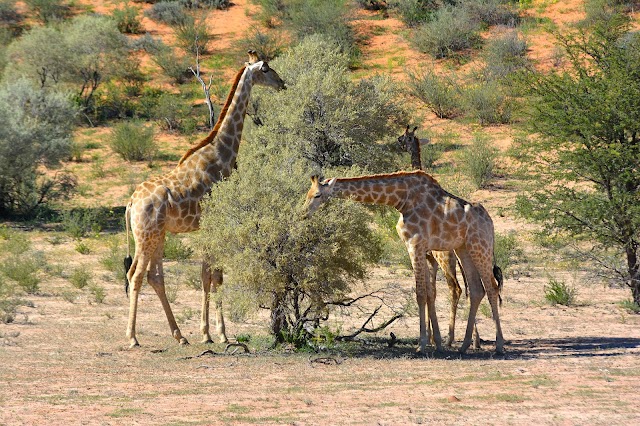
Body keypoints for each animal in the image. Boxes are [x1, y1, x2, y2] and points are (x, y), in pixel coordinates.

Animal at [124, 50, 284, 350]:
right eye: (267, 69)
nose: (283, 83)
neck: (223, 152)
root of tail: (130, 204)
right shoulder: (214, 222)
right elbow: (214, 276)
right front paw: (216, 333)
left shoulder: (207, 226)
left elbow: (208, 275)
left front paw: (207, 332)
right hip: (146, 235)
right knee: (136, 275)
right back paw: (133, 337)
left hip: (158, 235)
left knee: (153, 276)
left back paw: (179, 335)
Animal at [304, 170, 504, 352]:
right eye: (307, 194)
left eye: (317, 195)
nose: (303, 214)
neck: (401, 200)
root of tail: (490, 222)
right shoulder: (421, 249)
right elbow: (429, 294)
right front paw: (437, 343)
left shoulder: (415, 245)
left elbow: (420, 294)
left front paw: (421, 344)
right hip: (463, 249)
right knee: (476, 290)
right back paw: (464, 345)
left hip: (480, 247)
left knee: (491, 288)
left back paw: (499, 346)